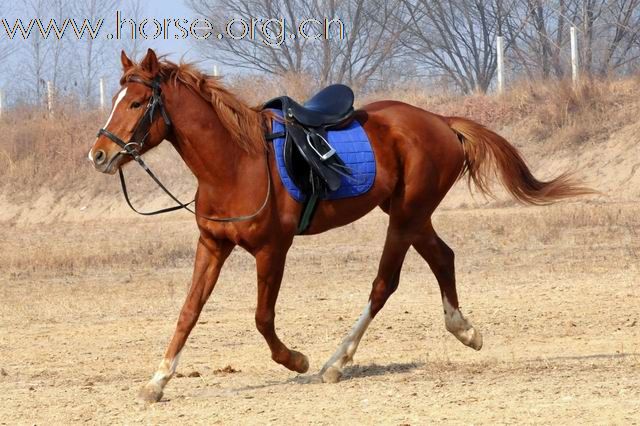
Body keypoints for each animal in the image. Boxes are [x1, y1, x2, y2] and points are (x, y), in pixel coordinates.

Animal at [89, 50, 592, 402]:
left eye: (137, 102)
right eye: (115, 100)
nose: (98, 154)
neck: (235, 162)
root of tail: (441, 121)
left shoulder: (272, 250)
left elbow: (262, 318)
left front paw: (296, 360)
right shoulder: (212, 245)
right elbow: (189, 312)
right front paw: (157, 381)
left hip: (405, 218)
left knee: (384, 284)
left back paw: (336, 361)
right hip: (410, 215)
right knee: (442, 257)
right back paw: (464, 330)